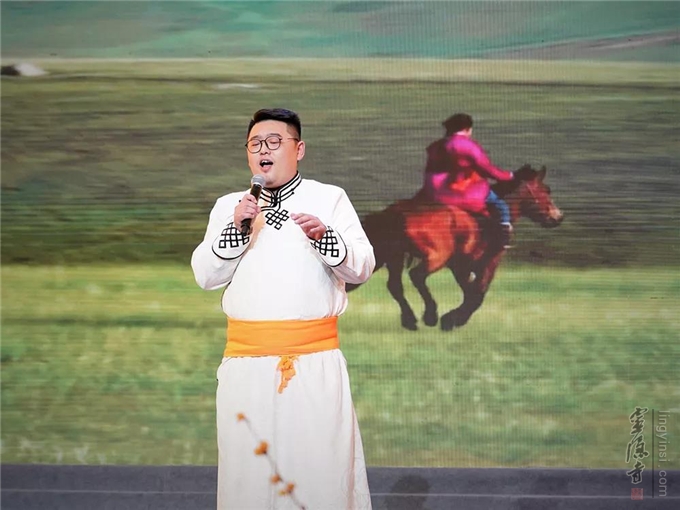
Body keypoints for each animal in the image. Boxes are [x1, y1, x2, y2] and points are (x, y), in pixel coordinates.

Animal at [347, 164, 563, 331]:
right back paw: (430, 315)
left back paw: (410, 320)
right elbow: (477, 294)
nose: (558, 217)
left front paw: (453, 318)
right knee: (417, 275)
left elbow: (470, 291)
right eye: (546, 190)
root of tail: (395, 211)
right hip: (436, 257)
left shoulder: (461, 266)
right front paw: (453, 319)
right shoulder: (489, 262)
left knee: (395, 286)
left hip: (395, 257)